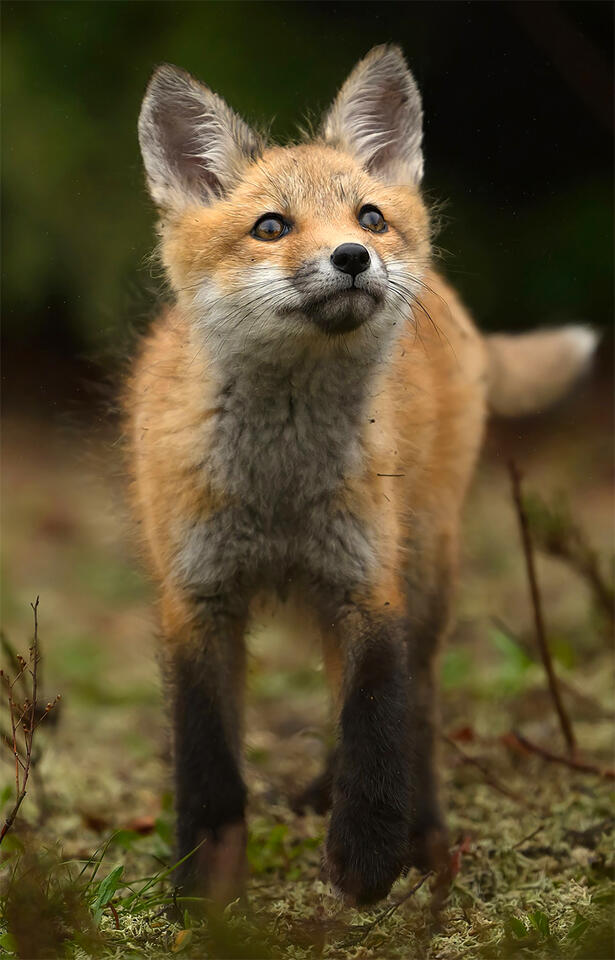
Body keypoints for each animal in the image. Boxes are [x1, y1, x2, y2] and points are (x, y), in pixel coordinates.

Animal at [124, 45, 597, 908]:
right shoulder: (195, 597)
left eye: (369, 218)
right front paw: (206, 890)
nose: (352, 257)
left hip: (426, 568)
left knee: (418, 706)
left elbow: (377, 722)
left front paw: (369, 861)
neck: (279, 484)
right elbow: (207, 761)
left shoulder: (366, 583)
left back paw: (427, 834)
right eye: (270, 227)